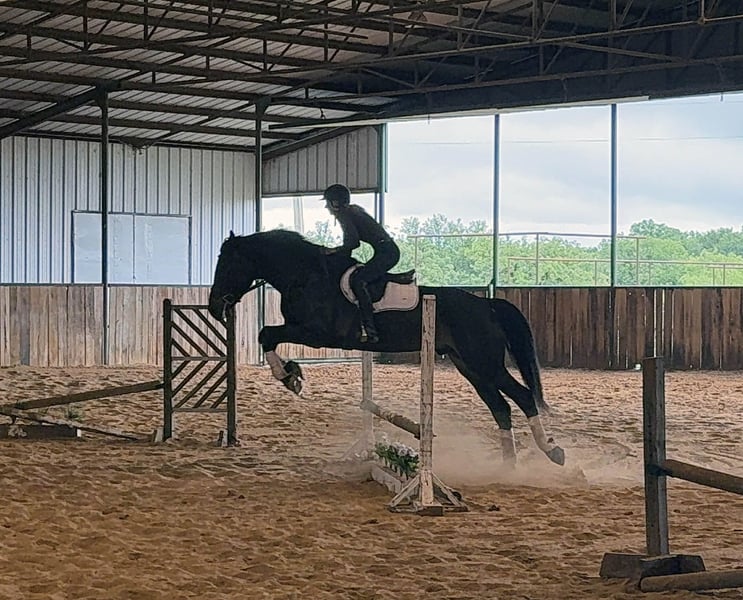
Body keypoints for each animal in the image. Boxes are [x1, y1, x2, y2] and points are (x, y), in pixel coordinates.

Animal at [208, 229, 565, 467]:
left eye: (226, 265)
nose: (213, 307)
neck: (305, 276)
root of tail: (487, 305)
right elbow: (266, 336)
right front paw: (291, 375)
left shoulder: (315, 334)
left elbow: (266, 334)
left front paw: (290, 377)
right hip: (470, 367)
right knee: (500, 407)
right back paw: (509, 465)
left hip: (485, 363)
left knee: (522, 397)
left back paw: (552, 451)